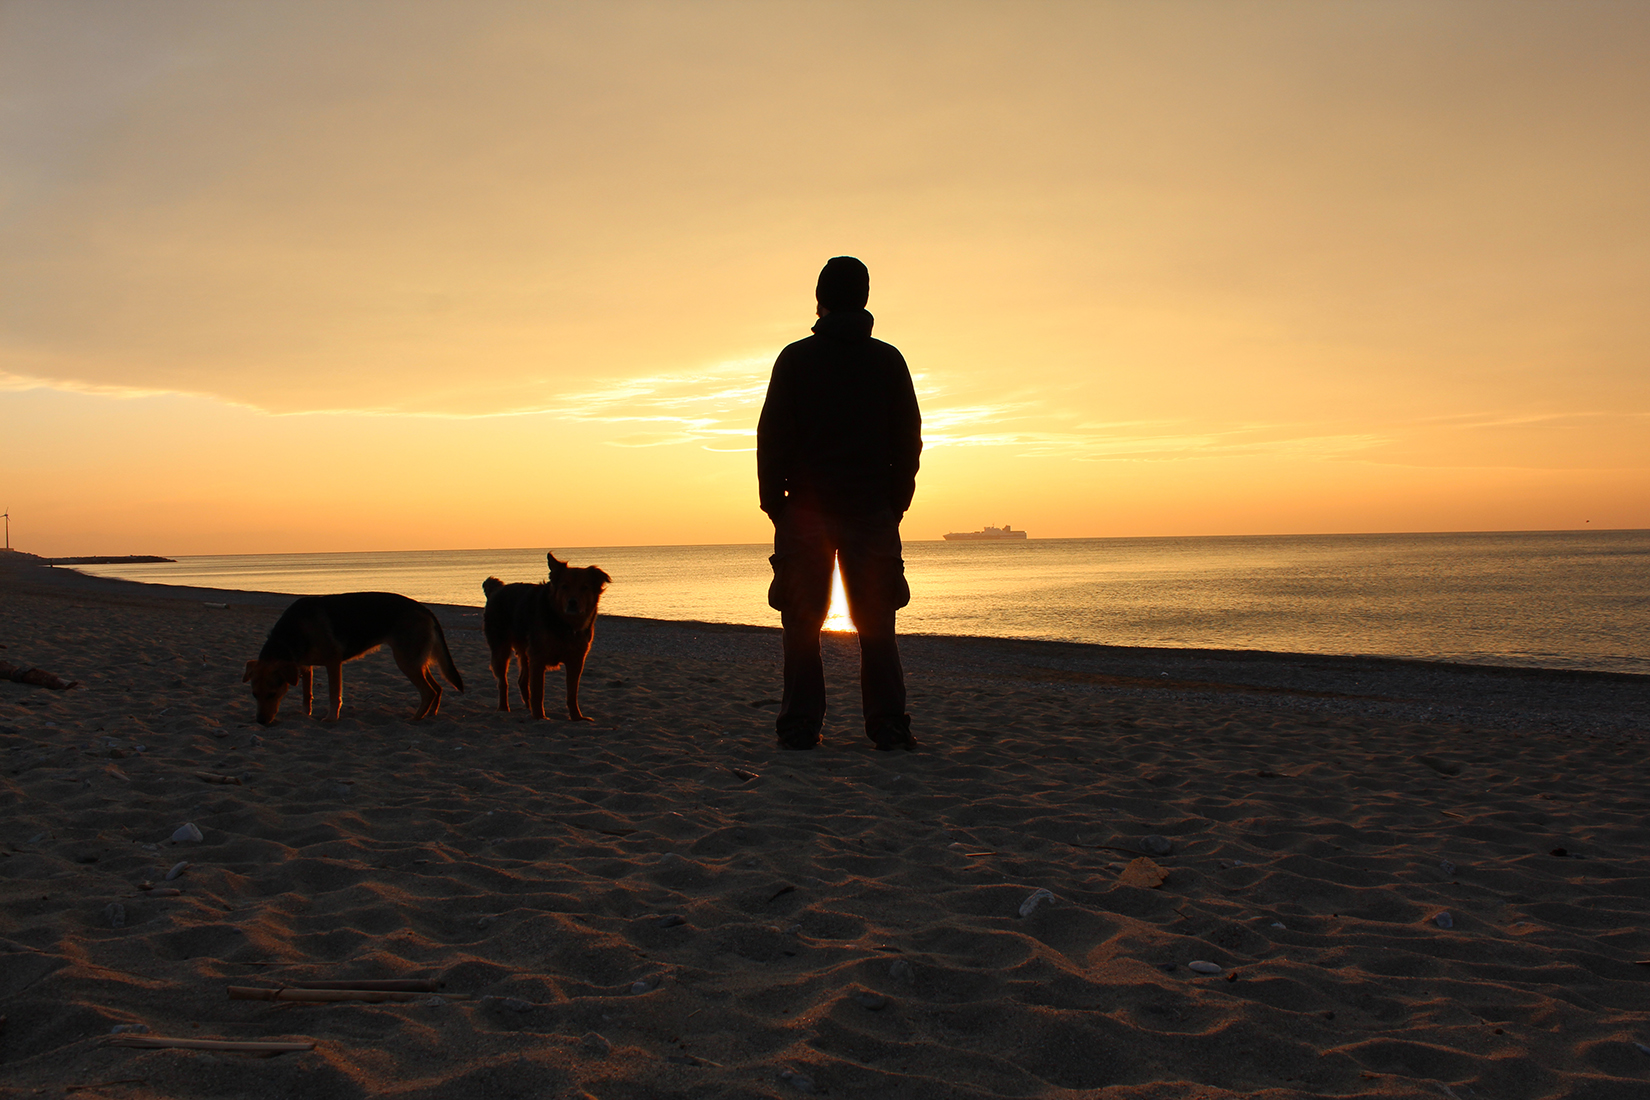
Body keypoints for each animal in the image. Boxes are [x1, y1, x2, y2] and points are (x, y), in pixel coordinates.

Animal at [239, 590, 462, 725]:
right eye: (254, 695)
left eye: (272, 694)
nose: (260, 722)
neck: (290, 634)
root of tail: (424, 608)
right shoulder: (303, 666)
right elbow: (306, 695)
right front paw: (305, 714)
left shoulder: (332, 663)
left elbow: (333, 694)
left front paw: (331, 719)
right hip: (415, 661)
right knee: (437, 688)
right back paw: (430, 714)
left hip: (406, 661)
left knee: (428, 691)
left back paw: (415, 718)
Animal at [481, 550, 613, 722]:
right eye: (564, 586)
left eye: (584, 588)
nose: (572, 603)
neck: (564, 623)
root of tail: (498, 590)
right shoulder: (538, 658)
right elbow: (538, 692)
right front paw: (539, 717)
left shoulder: (576, 660)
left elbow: (572, 693)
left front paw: (577, 717)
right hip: (501, 649)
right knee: (503, 682)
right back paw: (504, 708)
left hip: (525, 652)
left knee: (522, 681)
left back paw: (528, 707)